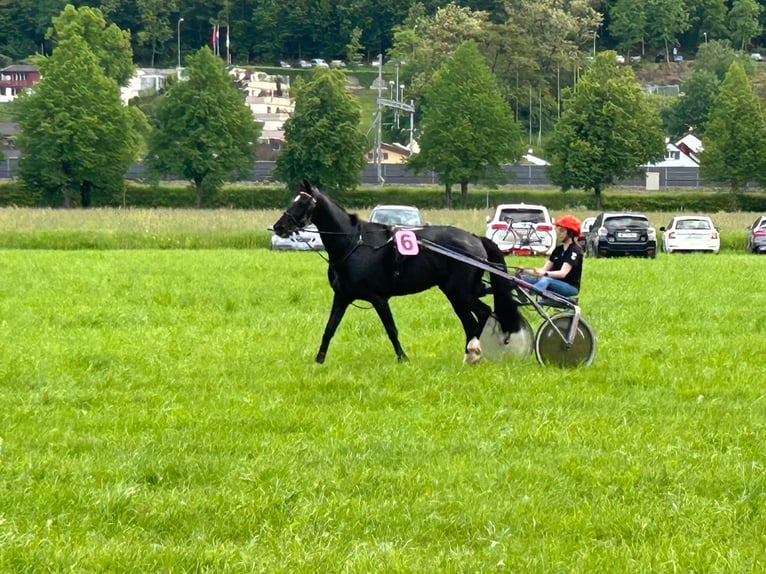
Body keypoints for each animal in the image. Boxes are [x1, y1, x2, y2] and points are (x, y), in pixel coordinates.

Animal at [270, 181, 520, 364]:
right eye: (293, 200)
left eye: (303, 203)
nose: (278, 226)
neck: (354, 243)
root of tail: (475, 238)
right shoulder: (342, 296)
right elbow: (329, 328)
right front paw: (319, 360)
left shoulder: (378, 298)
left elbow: (391, 329)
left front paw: (403, 358)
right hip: (457, 293)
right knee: (471, 320)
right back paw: (469, 354)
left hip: (459, 292)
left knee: (482, 313)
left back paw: (473, 350)